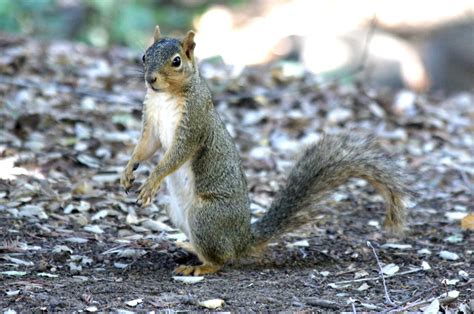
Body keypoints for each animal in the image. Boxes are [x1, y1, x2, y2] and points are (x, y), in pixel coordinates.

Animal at [121, 27, 412, 278]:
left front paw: (151, 181)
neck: (164, 96)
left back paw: (200, 266)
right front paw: (128, 171)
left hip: (205, 216)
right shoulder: (152, 123)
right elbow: (146, 146)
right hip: (176, 211)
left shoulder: (194, 124)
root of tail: (242, 239)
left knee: (223, 258)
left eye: (176, 61)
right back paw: (190, 247)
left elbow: (175, 155)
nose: (150, 79)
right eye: (145, 55)